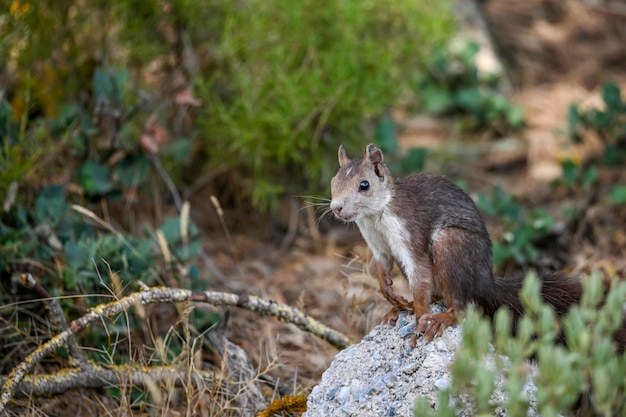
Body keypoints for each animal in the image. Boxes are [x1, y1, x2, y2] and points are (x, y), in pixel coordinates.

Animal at [330, 143, 620, 348]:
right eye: (333, 182)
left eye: (364, 185)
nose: (336, 208)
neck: (375, 216)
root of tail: (484, 281)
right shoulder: (376, 241)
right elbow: (381, 266)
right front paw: (388, 291)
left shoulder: (409, 231)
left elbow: (419, 274)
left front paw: (420, 320)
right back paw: (403, 307)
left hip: (450, 244)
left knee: (462, 306)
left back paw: (438, 318)